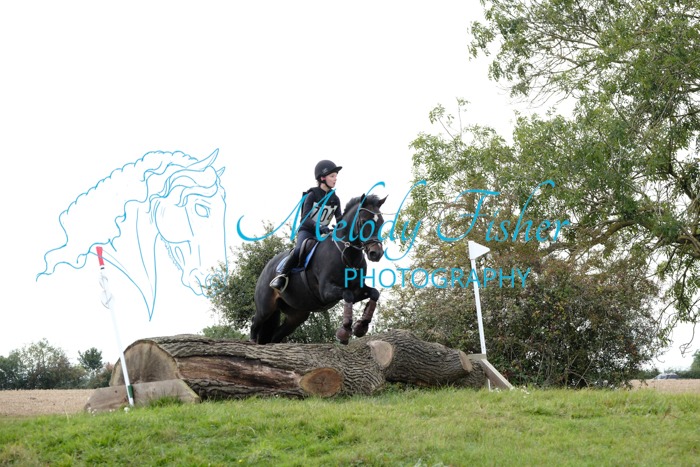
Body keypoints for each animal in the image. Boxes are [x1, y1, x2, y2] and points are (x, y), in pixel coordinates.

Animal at [251, 193, 387, 345]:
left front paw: (361, 326)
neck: (345, 253)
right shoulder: (326, 291)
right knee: (255, 321)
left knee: (276, 335)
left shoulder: (357, 289)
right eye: (363, 221)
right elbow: (347, 295)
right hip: (266, 307)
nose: (376, 253)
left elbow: (374, 293)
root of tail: (265, 269)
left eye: (381, 222)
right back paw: (252, 341)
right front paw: (344, 331)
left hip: (297, 314)